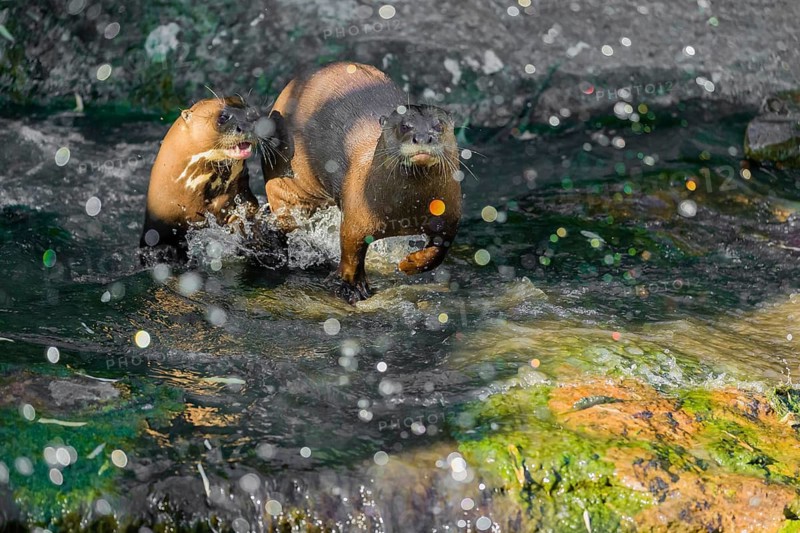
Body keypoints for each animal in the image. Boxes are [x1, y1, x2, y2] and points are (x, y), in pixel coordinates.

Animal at [261, 62, 462, 303]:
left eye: (438, 125)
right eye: (405, 126)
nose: (423, 137)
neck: (407, 209)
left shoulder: (449, 216)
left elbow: (439, 251)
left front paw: (408, 264)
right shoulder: (357, 216)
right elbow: (351, 252)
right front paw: (353, 287)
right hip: (283, 182)